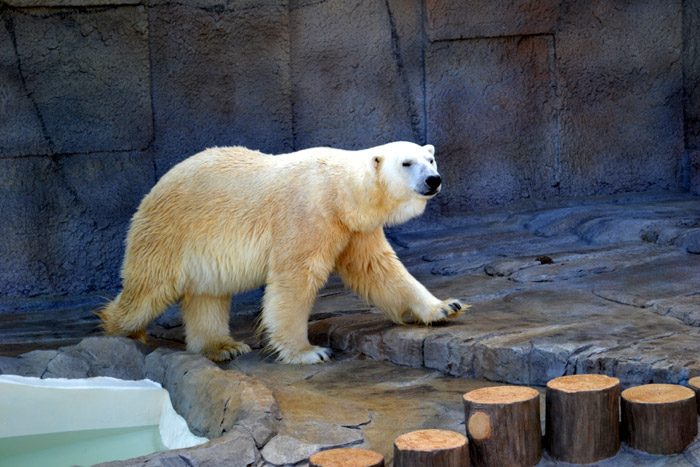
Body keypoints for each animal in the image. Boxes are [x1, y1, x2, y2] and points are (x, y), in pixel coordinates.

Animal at [98, 143, 468, 366]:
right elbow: (295, 279)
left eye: (430, 159)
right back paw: (124, 332)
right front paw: (309, 351)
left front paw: (444, 307)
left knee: (208, 294)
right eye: (407, 163)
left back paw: (223, 346)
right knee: (148, 289)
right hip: (171, 231)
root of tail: (155, 188)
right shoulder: (308, 214)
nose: (433, 180)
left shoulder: (354, 228)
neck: (340, 189)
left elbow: (379, 269)